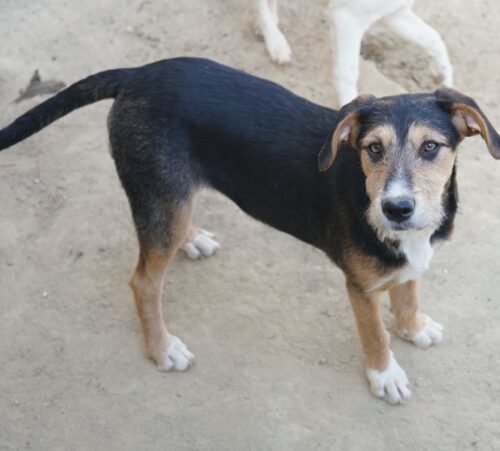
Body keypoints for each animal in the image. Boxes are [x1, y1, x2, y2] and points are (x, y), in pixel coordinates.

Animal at [1, 58, 498, 404]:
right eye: (373, 149)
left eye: (430, 147)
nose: (396, 209)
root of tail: (138, 74)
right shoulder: (359, 287)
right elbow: (375, 332)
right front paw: (385, 375)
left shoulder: (409, 260)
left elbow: (408, 290)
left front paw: (413, 328)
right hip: (157, 195)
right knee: (143, 282)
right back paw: (162, 349)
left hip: (170, 197)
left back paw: (193, 238)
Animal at [255, 0, 453, 106]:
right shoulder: (347, 17)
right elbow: (347, 74)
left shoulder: (394, 13)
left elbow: (434, 39)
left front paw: (444, 78)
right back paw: (274, 39)